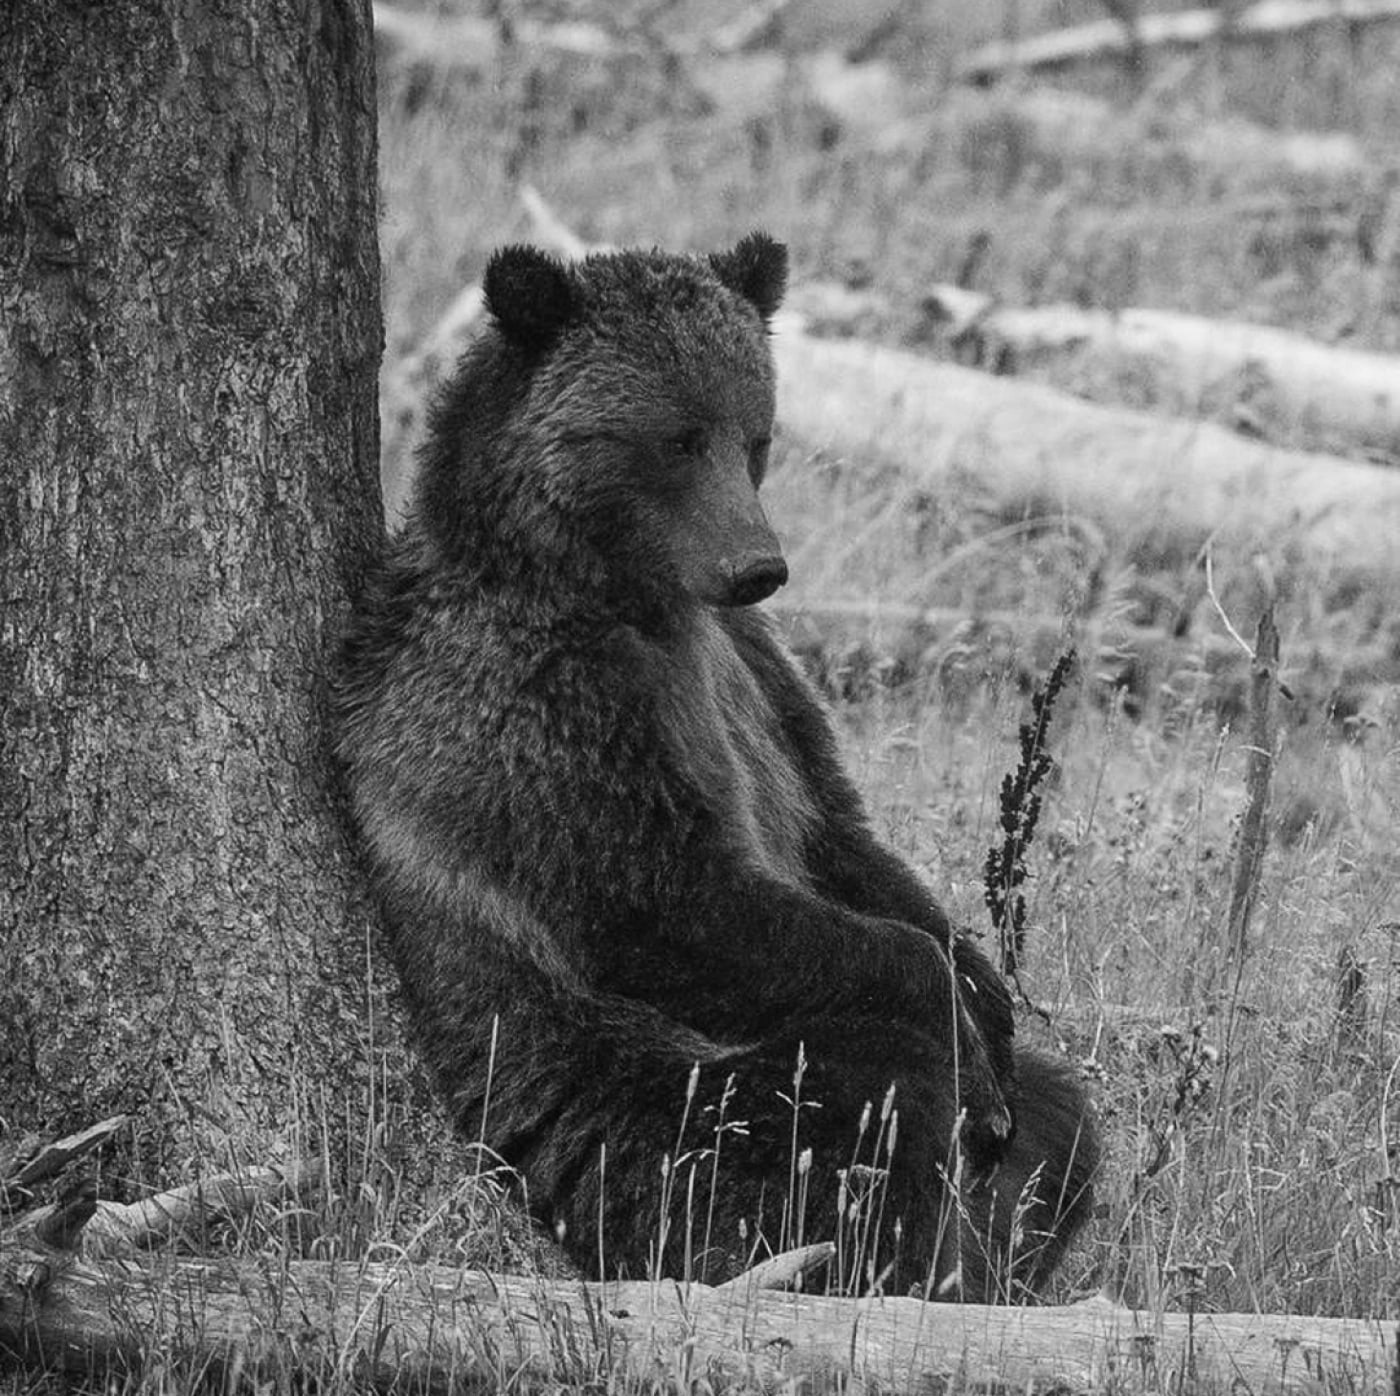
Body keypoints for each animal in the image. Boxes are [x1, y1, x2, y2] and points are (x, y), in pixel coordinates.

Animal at [333, 231, 1097, 1293]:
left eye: (755, 434)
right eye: (677, 438)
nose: (758, 566)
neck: (624, 593)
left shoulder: (756, 679)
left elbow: (841, 834)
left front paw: (985, 996)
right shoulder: (534, 709)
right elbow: (672, 898)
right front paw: (948, 1013)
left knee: (1064, 1131)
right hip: (645, 1106)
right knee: (860, 1115)